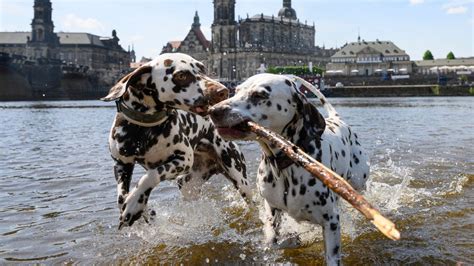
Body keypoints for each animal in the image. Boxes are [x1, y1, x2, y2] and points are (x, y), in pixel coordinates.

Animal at [102, 52, 254, 229]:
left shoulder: (183, 160)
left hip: (239, 178)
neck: (143, 130)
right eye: (181, 75)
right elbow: (121, 198)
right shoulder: (121, 165)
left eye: (203, 69)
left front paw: (134, 204)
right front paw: (142, 210)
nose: (223, 91)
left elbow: (151, 175)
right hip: (188, 185)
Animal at [208, 74, 370, 264]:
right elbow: (273, 240)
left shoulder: (331, 222)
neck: (287, 165)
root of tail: (337, 119)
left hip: (359, 182)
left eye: (259, 95)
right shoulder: (271, 212)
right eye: (236, 90)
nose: (214, 110)